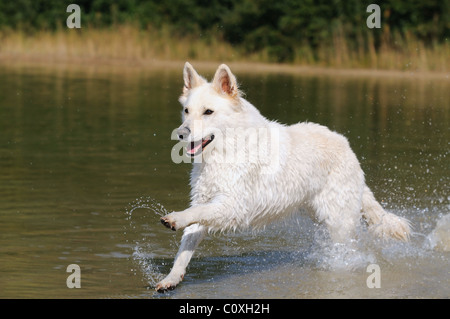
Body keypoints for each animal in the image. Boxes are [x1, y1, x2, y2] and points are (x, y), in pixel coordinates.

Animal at [155, 62, 412, 292]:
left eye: (208, 112)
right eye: (187, 111)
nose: (180, 133)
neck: (228, 148)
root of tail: (348, 148)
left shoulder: (233, 206)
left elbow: (194, 213)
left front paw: (174, 219)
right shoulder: (206, 200)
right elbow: (186, 245)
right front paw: (171, 279)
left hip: (338, 221)